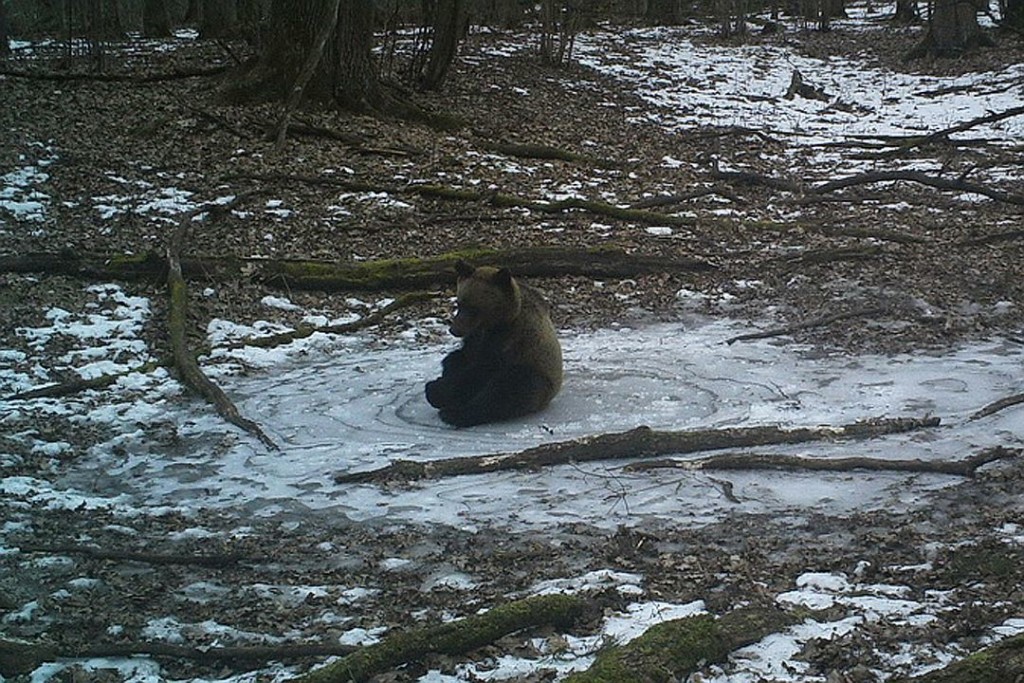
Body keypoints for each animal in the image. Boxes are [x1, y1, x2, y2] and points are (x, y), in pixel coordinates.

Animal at [425, 259, 565, 423]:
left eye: (474, 308)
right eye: (459, 303)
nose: (454, 329)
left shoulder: (511, 339)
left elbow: (482, 369)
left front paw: (434, 390)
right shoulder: (476, 338)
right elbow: (461, 358)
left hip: (539, 378)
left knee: (509, 388)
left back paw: (455, 414)